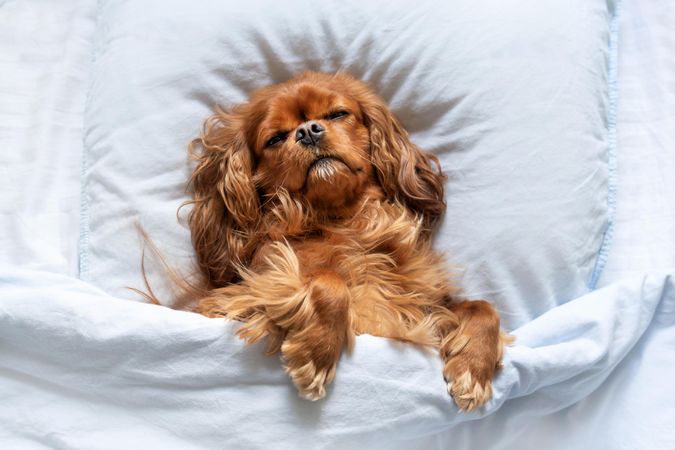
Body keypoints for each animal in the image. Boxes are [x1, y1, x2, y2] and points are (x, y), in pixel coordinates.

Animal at [185, 71, 508, 412]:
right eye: (275, 138)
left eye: (338, 114)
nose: (308, 131)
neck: (344, 222)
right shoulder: (239, 296)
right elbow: (330, 281)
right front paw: (316, 353)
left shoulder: (424, 305)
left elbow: (484, 307)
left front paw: (473, 371)